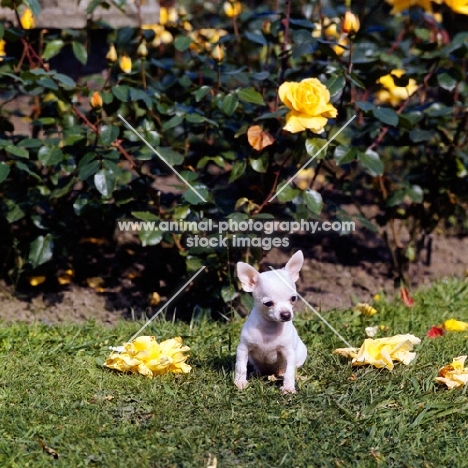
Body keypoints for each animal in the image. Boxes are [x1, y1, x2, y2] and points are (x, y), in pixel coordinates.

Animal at [234, 250, 308, 394]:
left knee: (289, 369)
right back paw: (256, 373)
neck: (269, 328)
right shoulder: (243, 349)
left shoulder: (289, 353)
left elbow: (290, 372)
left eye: (293, 298)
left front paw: (288, 387)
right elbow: (240, 366)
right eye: (268, 303)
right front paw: (240, 382)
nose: (286, 314)